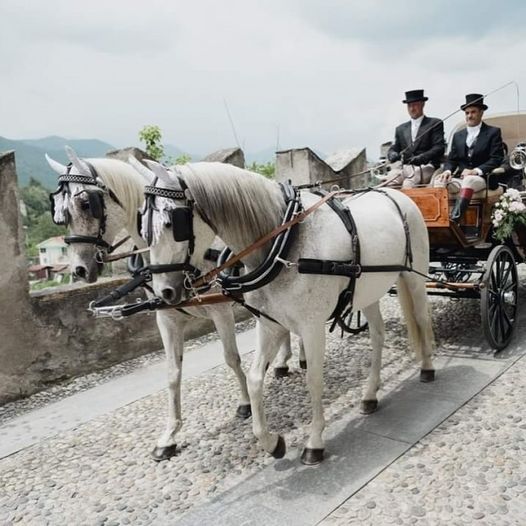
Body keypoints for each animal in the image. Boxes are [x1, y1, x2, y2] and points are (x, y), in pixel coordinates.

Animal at [47, 147, 288, 462]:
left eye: (87, 204)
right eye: (59, 210)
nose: (78, 270)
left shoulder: (220, 310)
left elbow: (231, 358)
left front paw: (246, 403)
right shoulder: (167, 318)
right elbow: (173, 374)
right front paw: (169, 436)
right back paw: (285, 361)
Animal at [141, 161, 438, 466]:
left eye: (172, 223)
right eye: (143, 227)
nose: (164, 292)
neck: (284, 243)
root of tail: (397, 195)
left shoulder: (312, 326)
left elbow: (314, 379)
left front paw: (314, 442)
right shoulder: (270, 323)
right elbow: (255, 379)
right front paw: (272, 442)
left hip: (414, 277)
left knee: (421, 317)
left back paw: (427, 368)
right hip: (369, 289)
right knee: (378, 335)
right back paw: (370, 395)